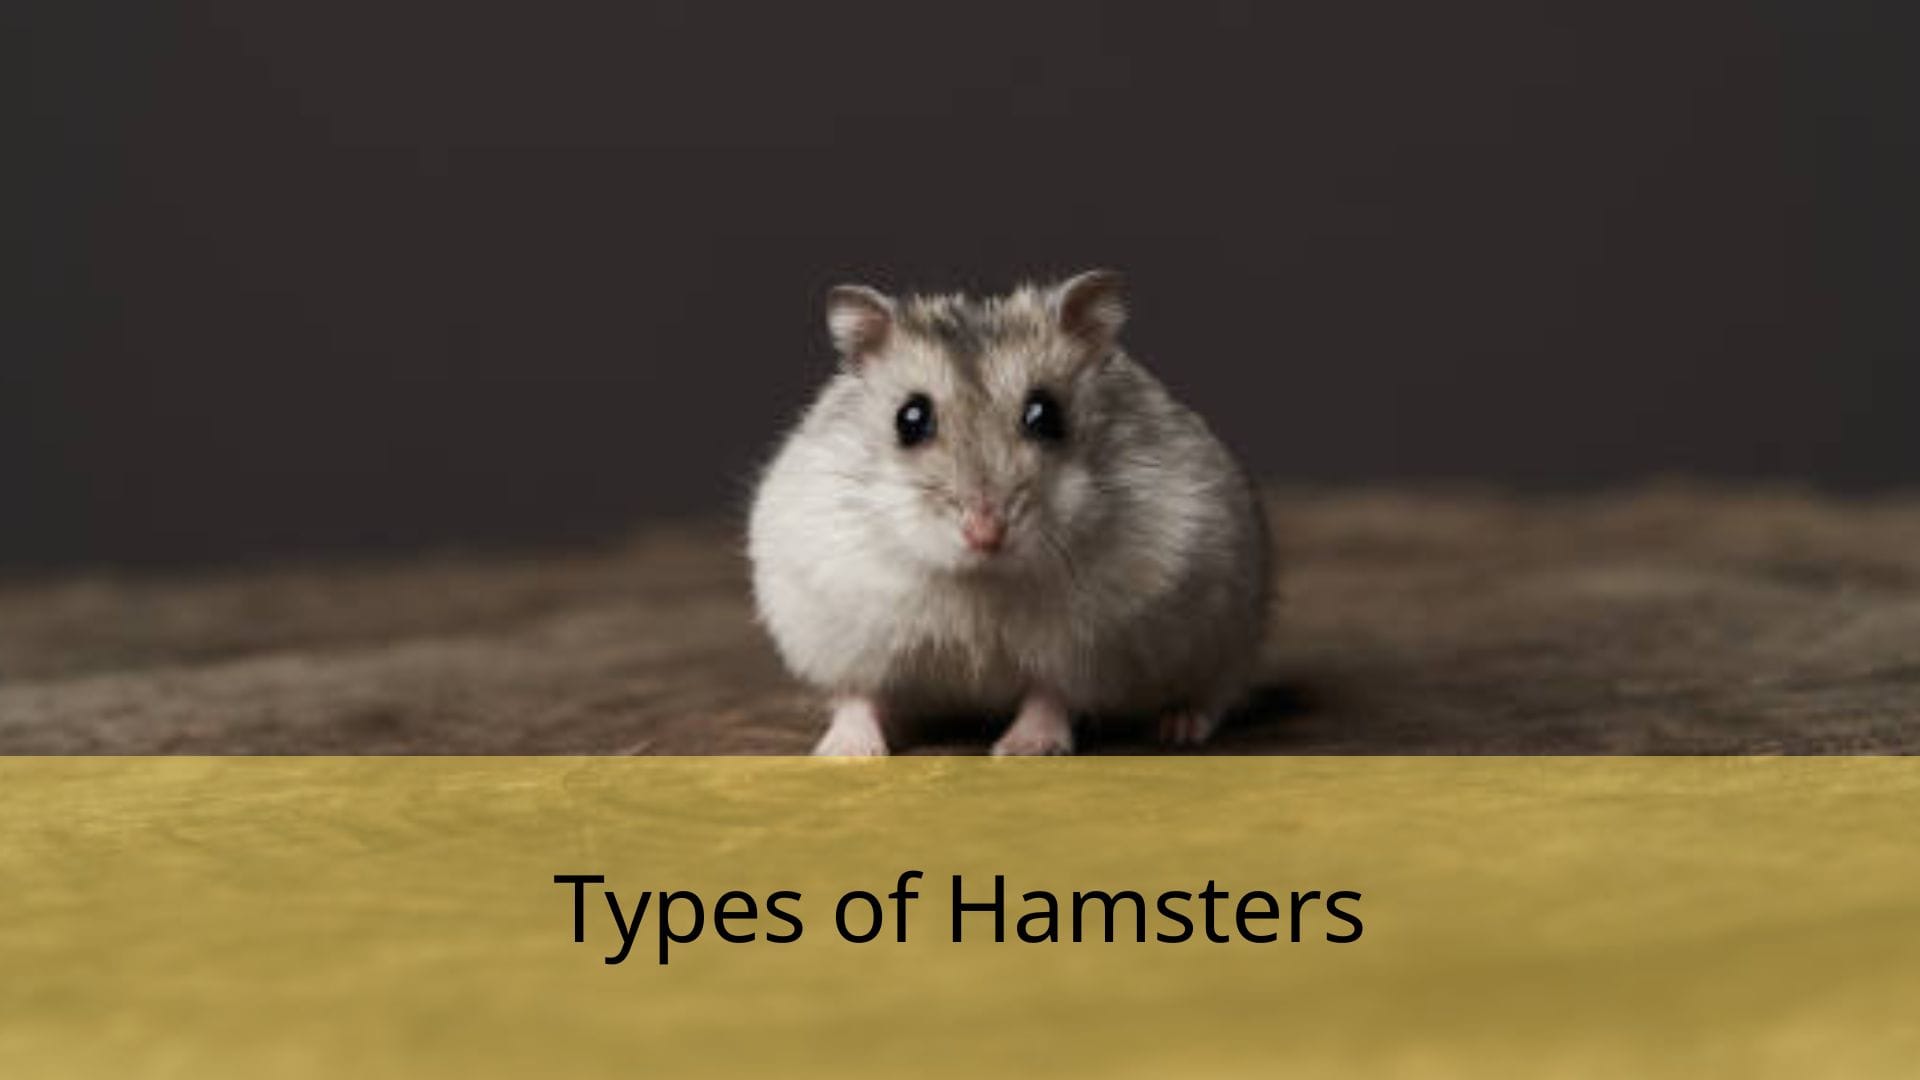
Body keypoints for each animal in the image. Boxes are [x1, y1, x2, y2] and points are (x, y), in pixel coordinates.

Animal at [747, 270, 1271, 755]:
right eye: (909, 418)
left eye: (1045, 414)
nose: (985, 533)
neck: (980, 580)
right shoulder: (838, 630)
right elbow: (857, 694)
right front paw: (847, 754)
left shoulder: (1090, 646)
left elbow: (1049, 695)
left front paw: (1022, 749)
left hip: (1229, 638)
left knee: (1216, 693)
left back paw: (1179, 728)